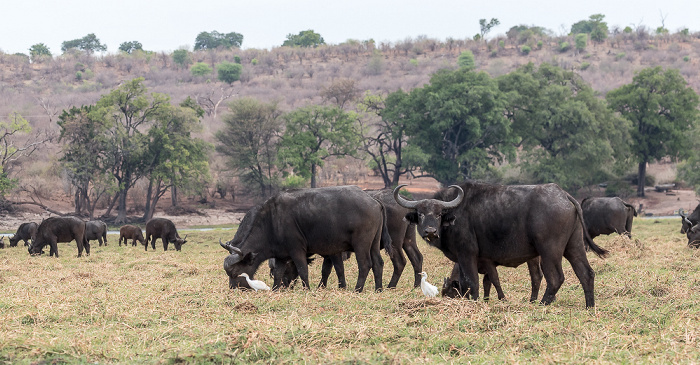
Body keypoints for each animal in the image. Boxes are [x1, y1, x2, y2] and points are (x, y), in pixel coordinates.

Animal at [221, 186, 392, 292]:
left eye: (235, 272)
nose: (233, 288)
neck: (272, 222)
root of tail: (374, 201)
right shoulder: (281, 255)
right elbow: (278, 274)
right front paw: (276, 289)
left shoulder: (297, 250)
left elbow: (303, 270)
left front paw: (307, 289)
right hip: (374, 244)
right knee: (378, 263)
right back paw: (378, 289)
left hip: (361, 244)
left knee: (365, 264)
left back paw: (358, 289)